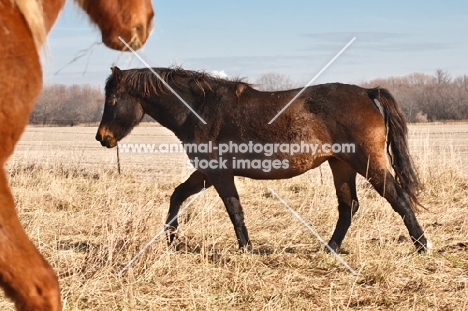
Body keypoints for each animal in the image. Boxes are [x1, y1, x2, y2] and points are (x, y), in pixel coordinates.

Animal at [96, 67, 428, 258]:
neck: (199, 109)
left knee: (397, 197)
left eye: (112, 99)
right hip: (341, 165)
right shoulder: (206, 172)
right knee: (349, 207)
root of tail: (367, 92)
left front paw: (245, 249)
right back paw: (329, 249)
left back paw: (422, 245)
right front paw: (172, 239)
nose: (102, 137)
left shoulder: (218, 173)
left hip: (367, 162)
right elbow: (177, 195)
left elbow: (234, 209)